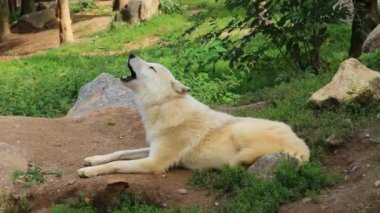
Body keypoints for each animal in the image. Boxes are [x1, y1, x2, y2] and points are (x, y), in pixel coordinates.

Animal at [77, 54, 308, 177]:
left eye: (151, 67)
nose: (132, 54)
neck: (163, 107)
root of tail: (305, 150)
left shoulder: (154, 163)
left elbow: (116, 165)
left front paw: (88, 172)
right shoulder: (151, 149)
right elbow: (120, 152)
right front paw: (93, 160)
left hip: (241, 129)